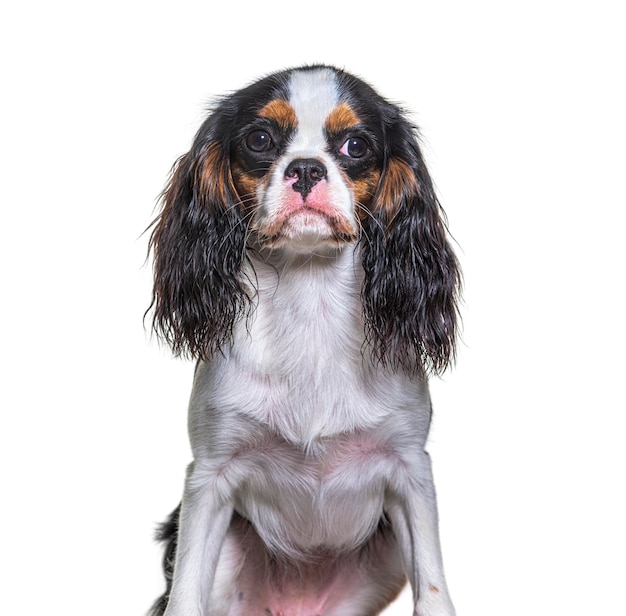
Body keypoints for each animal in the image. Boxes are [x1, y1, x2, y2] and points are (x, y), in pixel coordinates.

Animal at [146, 65, 458, 616]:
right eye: (260, 139)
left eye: (355, 145)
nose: (307, 169)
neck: (307, 293)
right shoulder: (208, 480)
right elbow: (185, 597)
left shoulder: (410, 472)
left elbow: (433, 590)